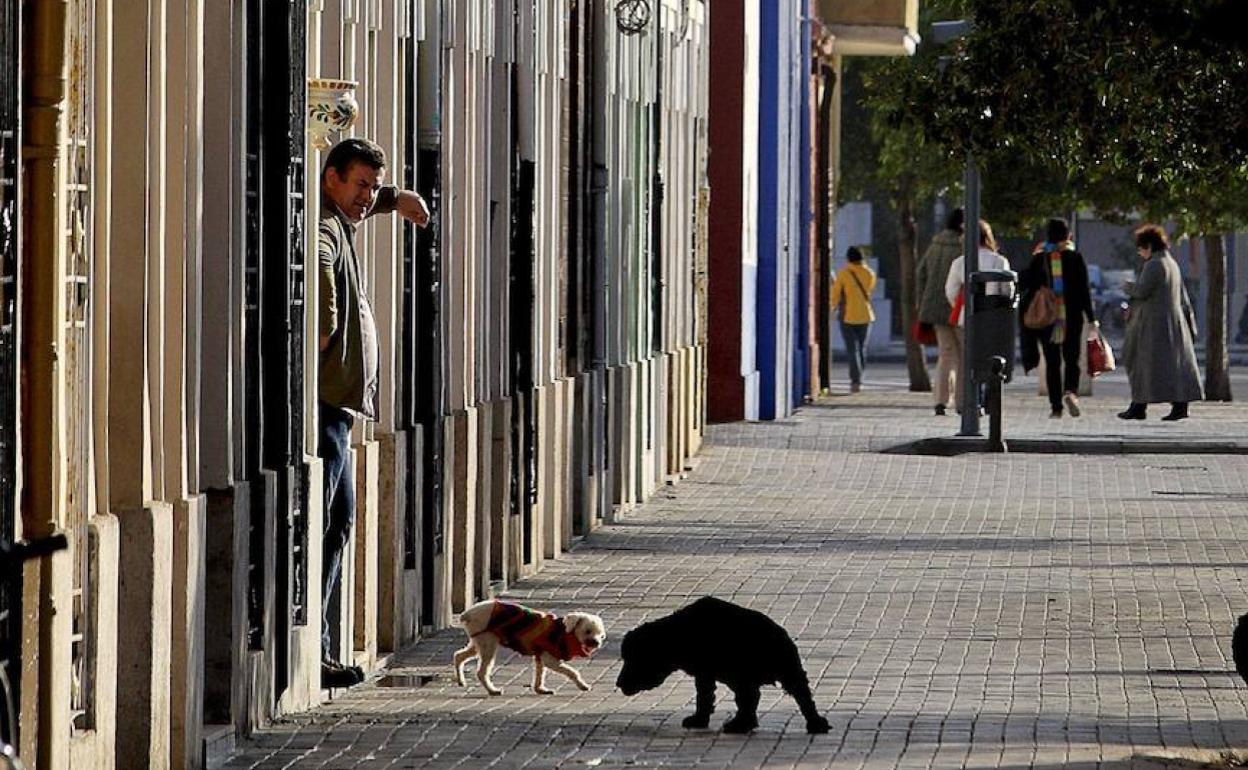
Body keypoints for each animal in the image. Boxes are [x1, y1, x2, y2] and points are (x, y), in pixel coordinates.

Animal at [451, 596, 606, 693]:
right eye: (588, 631)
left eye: (601, 634)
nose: (596, 643)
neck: (564, 632)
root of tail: (468, 613)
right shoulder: (550, 659)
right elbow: (572, 672)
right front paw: (583, 685)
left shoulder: (540, 656)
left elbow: (540, 673)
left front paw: (540, 689)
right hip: (487, 642)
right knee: (481, 671)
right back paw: (492, 690)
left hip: (478, 640)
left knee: (459, 655)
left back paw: (461, 680)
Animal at [614, 594, 828, 733]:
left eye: (634, 660)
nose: (618, 683)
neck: (677, 634)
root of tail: (780, 638)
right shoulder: (705, 672)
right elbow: (705, 695)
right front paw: (699, 719)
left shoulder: (710, 669)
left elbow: (707, 694)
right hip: (786, 669)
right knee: (797, 692)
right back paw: (816, 724)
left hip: (753, 671)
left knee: (754, 697)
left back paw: (740, 725)